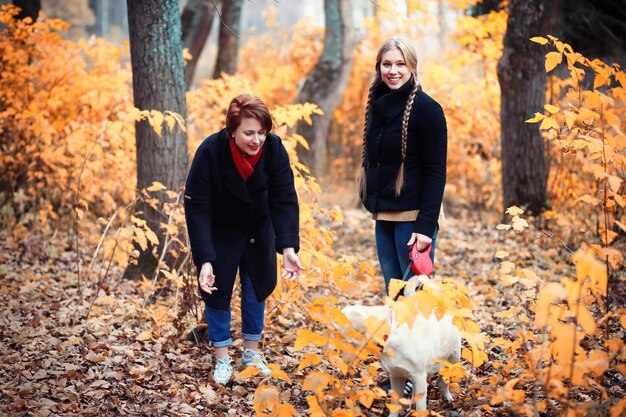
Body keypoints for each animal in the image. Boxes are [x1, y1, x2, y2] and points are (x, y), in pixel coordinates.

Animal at [338, 274, 460, 414]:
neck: (389, 336)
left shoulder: (419, 377)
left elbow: (421, 409)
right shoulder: (395, 376)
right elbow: (395, 405)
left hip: (454, 356)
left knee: (443, 379)